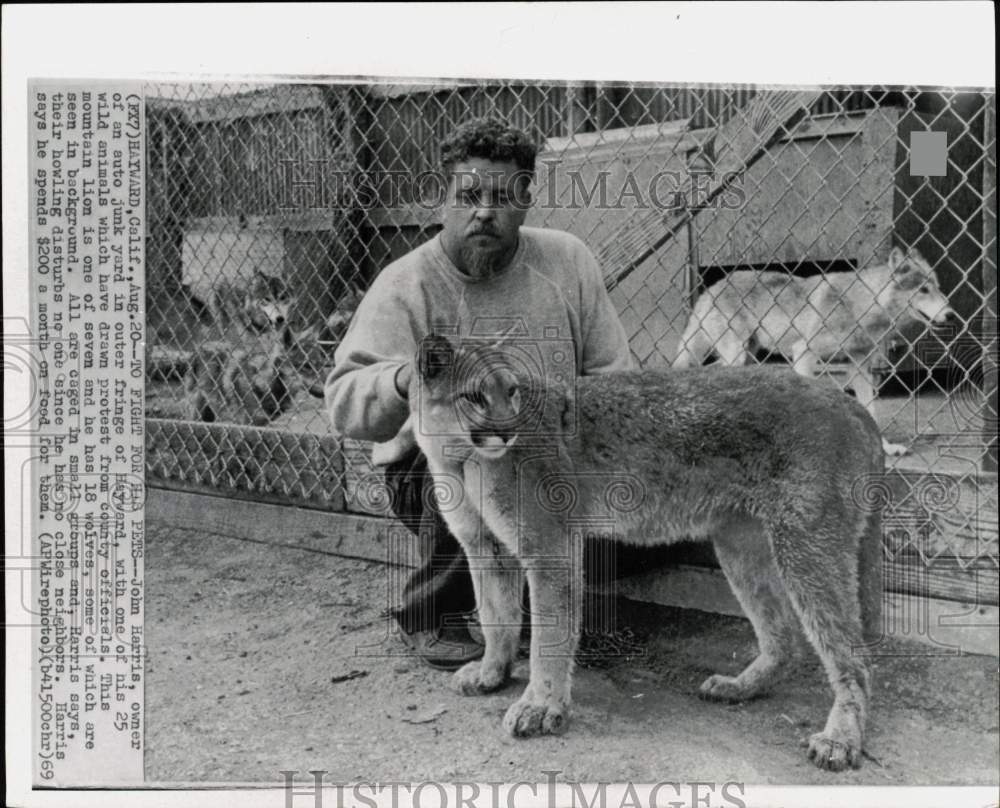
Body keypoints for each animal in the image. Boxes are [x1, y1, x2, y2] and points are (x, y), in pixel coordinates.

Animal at [410, 332, 888, 772]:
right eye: (475, 396)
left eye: (512, 391)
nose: (508, 431)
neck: (459, 458)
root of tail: (849, 403)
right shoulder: (486, 547)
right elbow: (497, 617)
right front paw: (491, 674)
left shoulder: (549, 548)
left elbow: (548, 635)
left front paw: (541, 706)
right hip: (740, 544)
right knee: (784, 635)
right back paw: (741, 687)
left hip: (806, 542)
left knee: (855, 657)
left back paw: (839, 739)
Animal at [672, 249, 952, 454]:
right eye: (923, 290)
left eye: (938, 287)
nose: (950, 314)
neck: (861, 306)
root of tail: (711, 288)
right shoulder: (804, 352)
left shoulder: (859, 367)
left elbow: (871, 410)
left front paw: (886, 448)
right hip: (737, 355)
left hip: (744, 357)